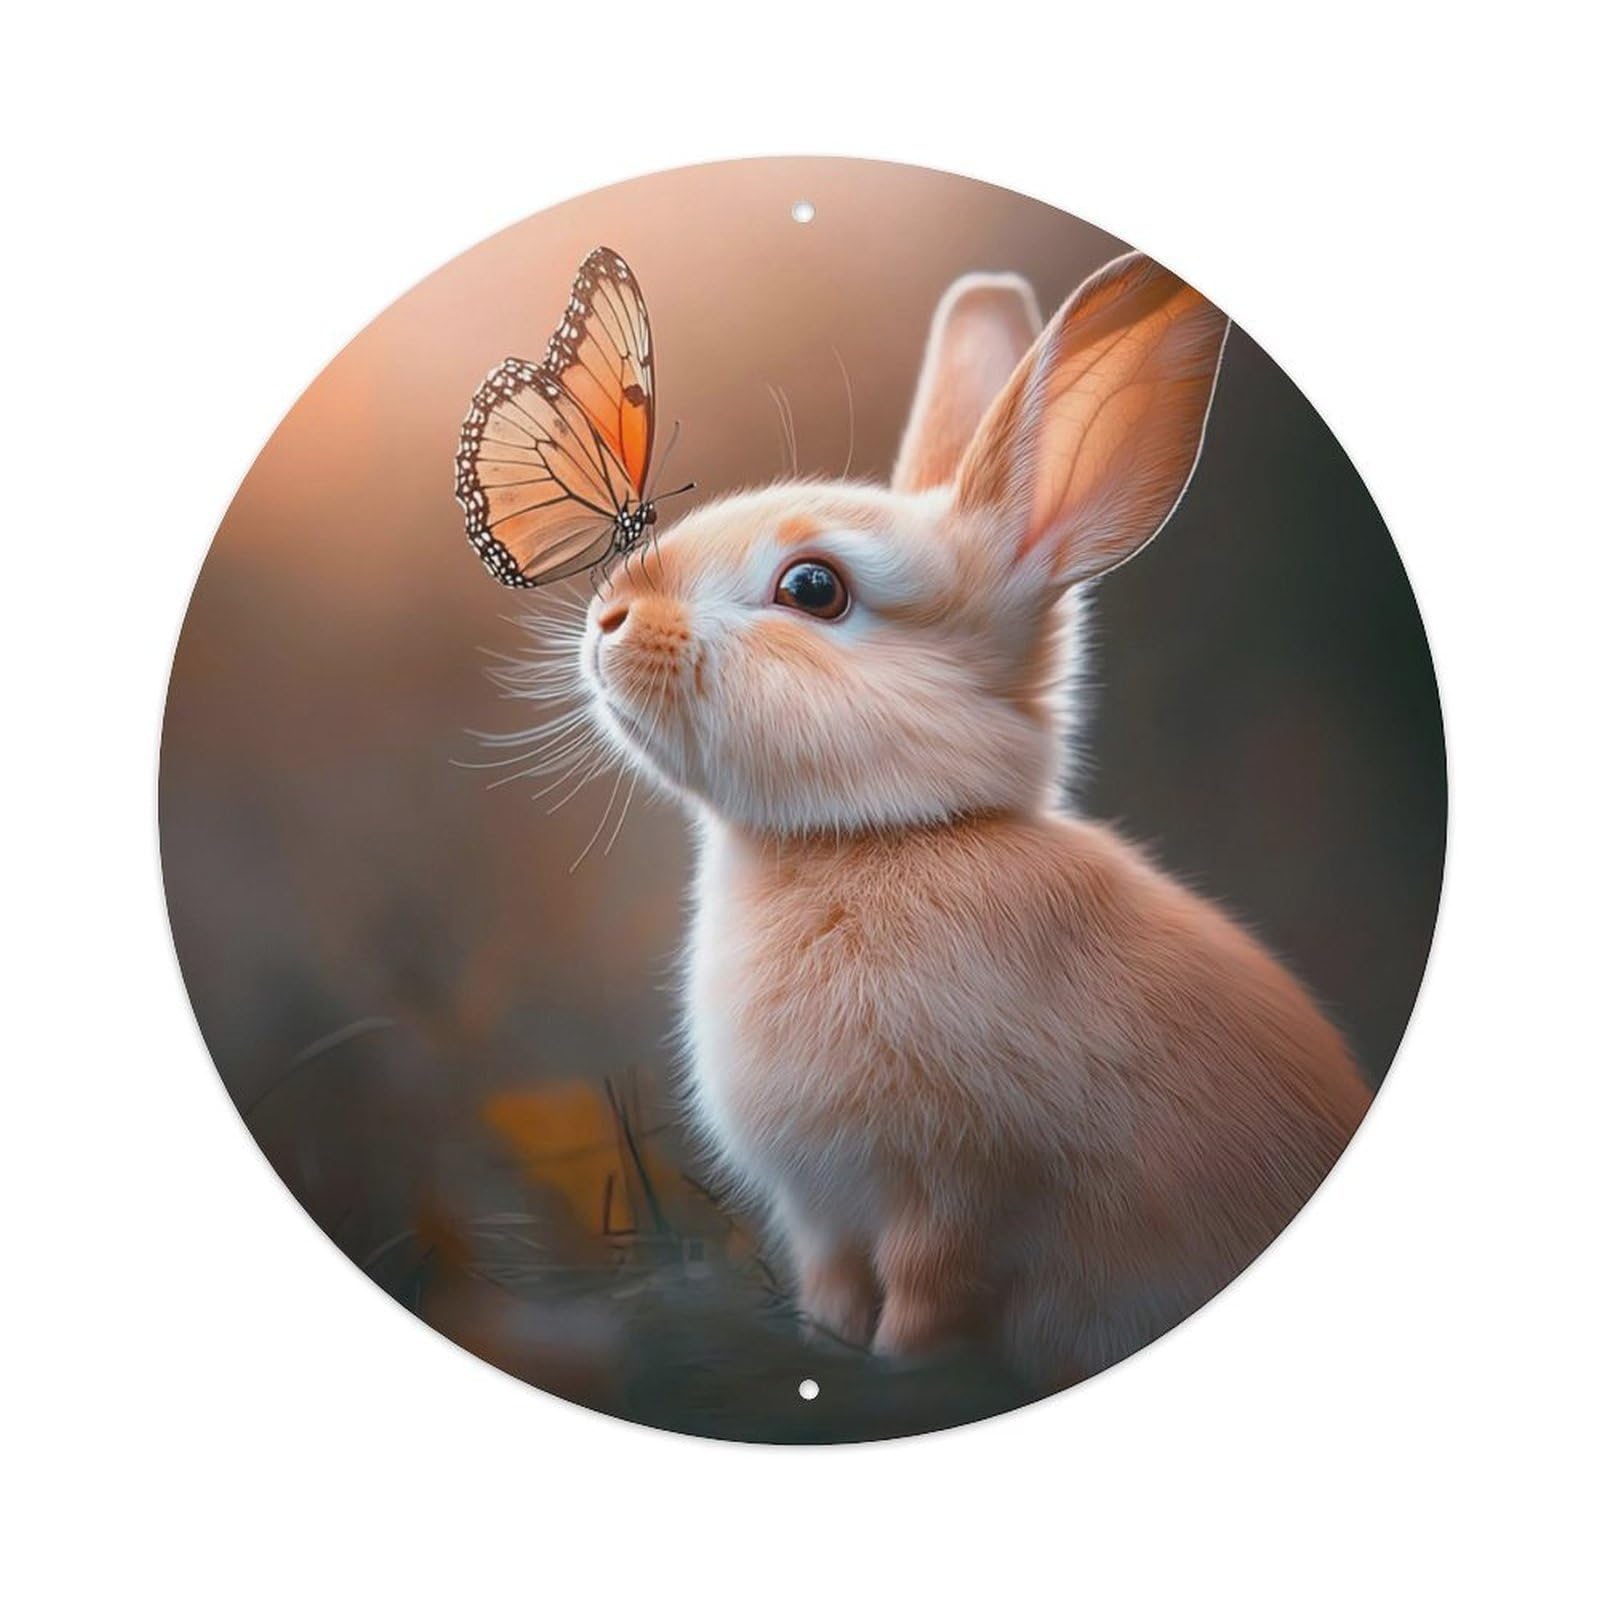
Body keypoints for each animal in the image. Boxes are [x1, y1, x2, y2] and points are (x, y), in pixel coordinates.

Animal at [578, 250, 1373, 1388]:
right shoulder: (825, 1218)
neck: (884, 837)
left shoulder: (956, 1196)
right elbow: (832, 1294)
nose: (606, 617)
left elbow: (926, 1298)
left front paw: (898, 1375)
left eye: (812, 588)